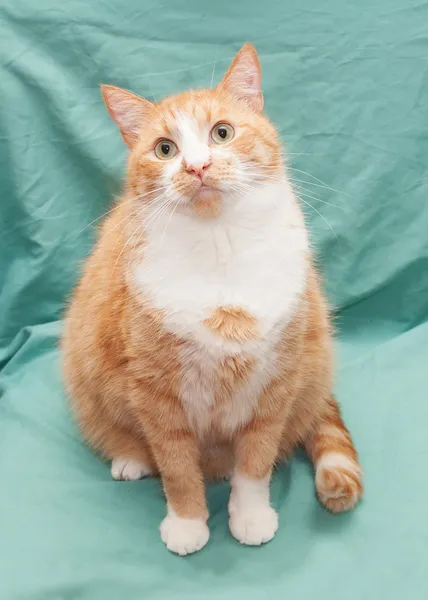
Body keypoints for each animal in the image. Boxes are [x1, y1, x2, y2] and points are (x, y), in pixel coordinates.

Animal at [61, 42, 362, 556]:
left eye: (222, 133)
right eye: (165, 149)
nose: (197, 166)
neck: (220, 248)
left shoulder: (276, 383)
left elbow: (255, 462)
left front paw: (251, 515)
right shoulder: (156, 394)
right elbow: (178, 469)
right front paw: (186, 523)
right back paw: (130, 459)